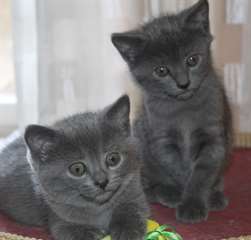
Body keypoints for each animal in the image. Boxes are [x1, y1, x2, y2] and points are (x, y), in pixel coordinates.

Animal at [0, 95, 149, 240]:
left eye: (113, 159)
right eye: (77, 169)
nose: (102, 181)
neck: (100, 208)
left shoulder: (136, 198)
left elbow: (133, 212)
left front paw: (127, 230)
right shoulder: (60, 221)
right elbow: (72, 232)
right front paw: (91, 233)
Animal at [112, 0, 233, 223]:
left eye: (192, 60)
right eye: (161, 71)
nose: (183, 84)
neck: (184, 110)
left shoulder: (213, 137)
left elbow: (202, 172)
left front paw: (194, 202)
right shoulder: (162, 140)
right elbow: (177, 170)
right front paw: (184, 199)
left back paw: (215, 195)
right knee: (145, 185)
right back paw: (165, 192)